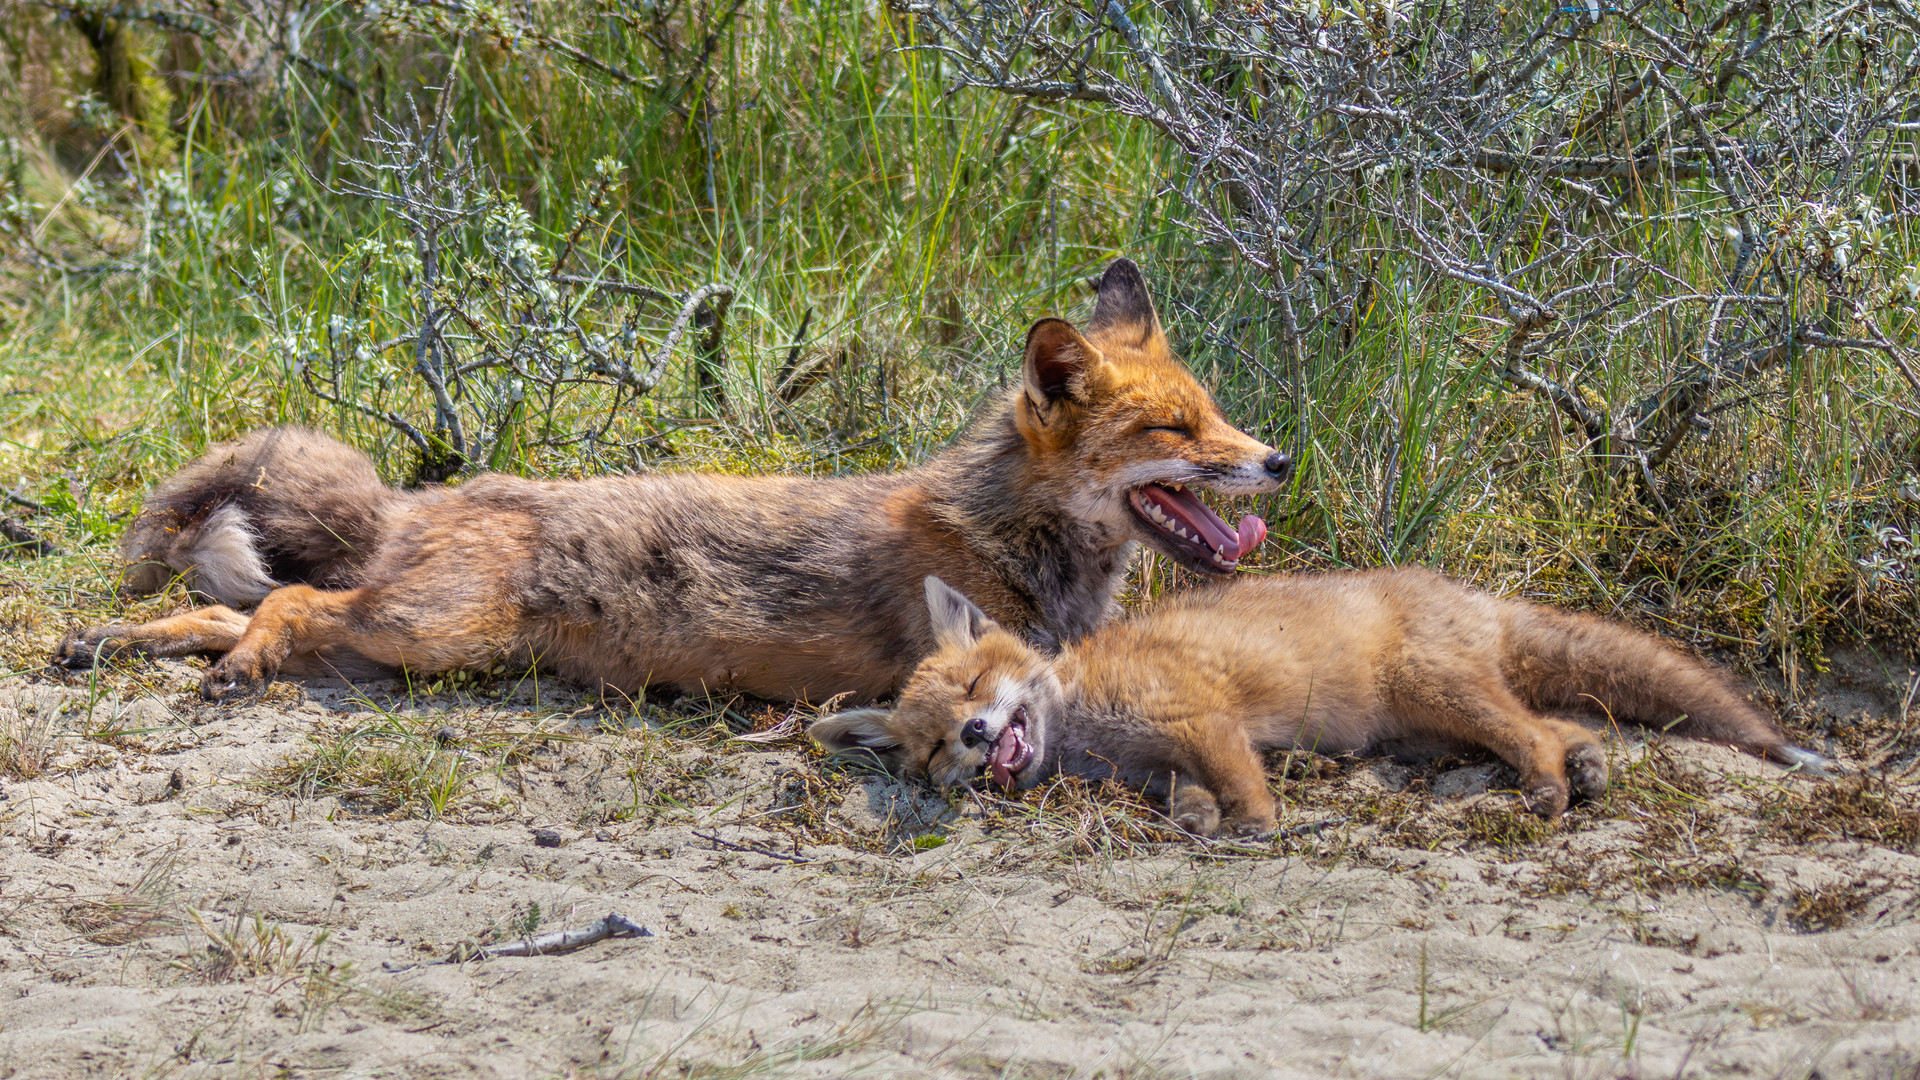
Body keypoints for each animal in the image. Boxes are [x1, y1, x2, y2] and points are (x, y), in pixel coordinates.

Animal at [60, 259, 1297, 699]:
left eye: (1216, 414)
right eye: (1177, 429)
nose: (1278, 461)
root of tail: (427, 496)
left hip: (413, 640)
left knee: (235, 611)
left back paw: (112, 645)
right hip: (431, 633)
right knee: (286, 609)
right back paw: (231, 668)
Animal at [814, 572, 1827, 834]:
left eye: (975, 691)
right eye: (935, 748)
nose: (977, 737)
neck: (1086, 715)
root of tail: (1476, 595)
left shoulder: (1200, 719)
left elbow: (1239, 786)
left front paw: (1257, 827)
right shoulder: (1159, 763)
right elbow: (1187, 799)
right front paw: (1203, 824)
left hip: (1441, 697)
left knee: (1534, 735)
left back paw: (1549, 791)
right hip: (1431, 725)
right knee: (1564, 723)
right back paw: (1586, 768)